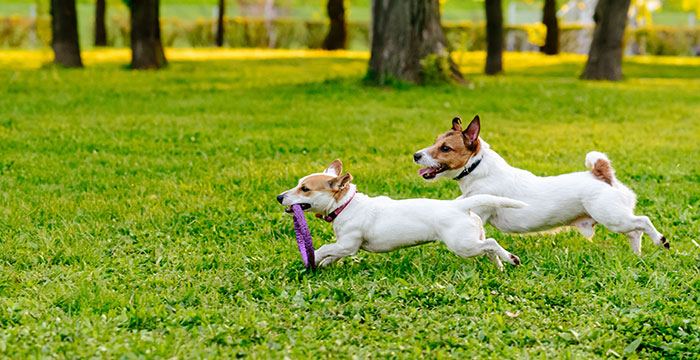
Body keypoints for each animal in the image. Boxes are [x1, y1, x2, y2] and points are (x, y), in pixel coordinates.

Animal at [276, 160, 528, 270]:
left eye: (305, 189)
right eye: (299, 184)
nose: (279, 197)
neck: (346, 204)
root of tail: (460, 206)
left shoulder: (348, 244)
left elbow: (326, 248)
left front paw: (314, 258)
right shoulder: (344, 247)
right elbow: (333, 254)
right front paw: (323, 264)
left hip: (463, 245)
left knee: (491, 243)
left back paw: (510, 259)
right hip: (472, 240)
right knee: (488, 247)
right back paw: (500, 265)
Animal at [412, 116, 668, 256]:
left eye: (445, 148)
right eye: (435, 141)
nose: (416, 155)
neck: (478, 168)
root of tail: (600, 174)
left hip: (612, 217)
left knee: (643, 222)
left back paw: (660, 241)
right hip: (617, 220)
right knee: (635, 232)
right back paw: (637, 255)